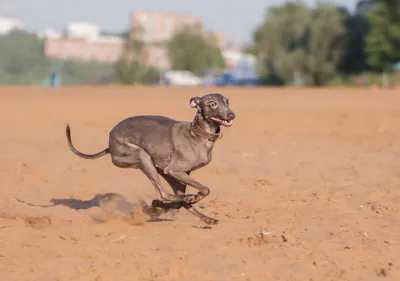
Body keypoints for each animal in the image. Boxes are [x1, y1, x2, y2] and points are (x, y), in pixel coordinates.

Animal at [65, 93, 234, 224]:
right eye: (212, 103)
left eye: (227, 101)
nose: (232, 115)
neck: (198, 135)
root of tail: (110, 144)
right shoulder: (174, 170)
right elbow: (205, 189)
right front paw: (195, 196)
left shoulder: (177, 173)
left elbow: (184, 200)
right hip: (142, 157)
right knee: (164, 194)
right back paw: (183, 198)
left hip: (157, 168)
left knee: (173, 199)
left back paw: (202, 216)